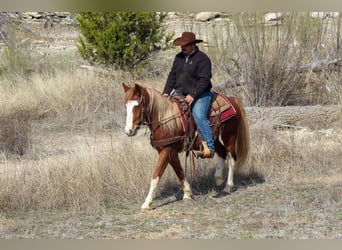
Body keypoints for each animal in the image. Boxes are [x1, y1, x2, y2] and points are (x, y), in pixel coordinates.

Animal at [121, 83, 250, 210]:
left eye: (137, 105)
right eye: (126, 106)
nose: (129, 131)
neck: (164, 121)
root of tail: (232, 99)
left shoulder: (165, 152)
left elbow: (155, 176)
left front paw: (147, 203)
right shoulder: (171, 153)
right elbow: (180, 172)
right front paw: (187, 193)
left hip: (230, 137)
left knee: (232, 158)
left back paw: (228, 186)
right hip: (214, 139)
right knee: (222, 153)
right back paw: (218, 179)